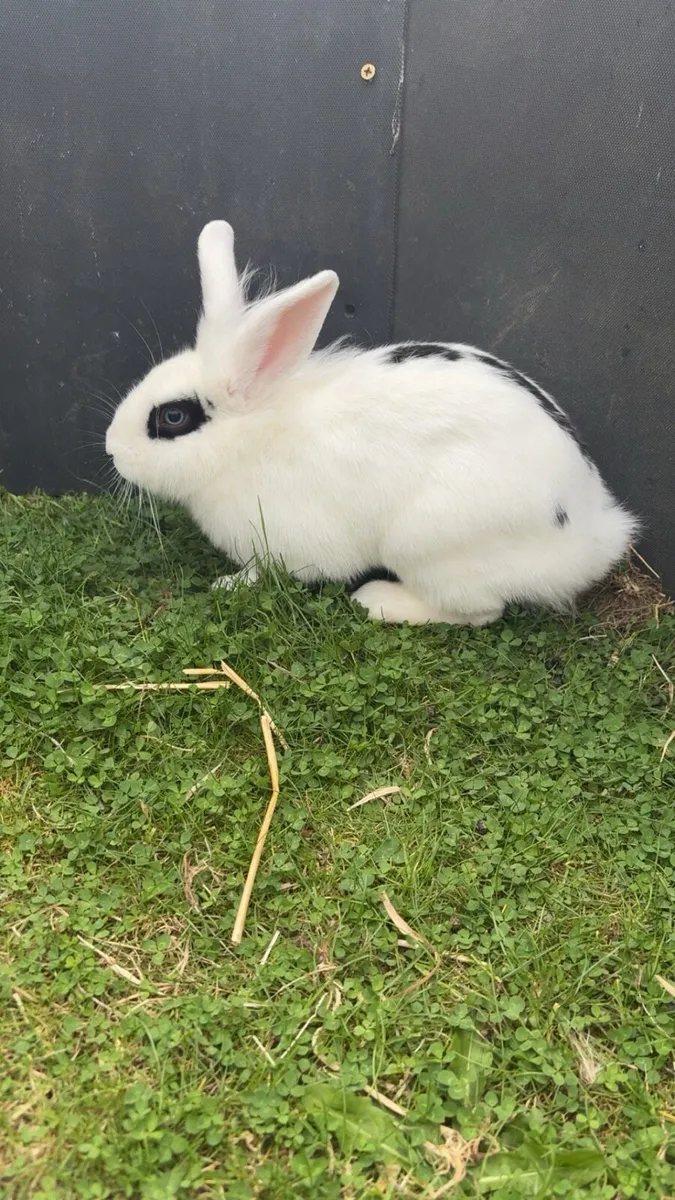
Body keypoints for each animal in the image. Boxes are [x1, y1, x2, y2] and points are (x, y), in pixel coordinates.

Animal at [105, 220, 638, 626]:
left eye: (173, 417)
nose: (112, 448)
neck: (250, 442)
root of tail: (593, 537)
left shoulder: (282, 545)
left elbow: (263, 573)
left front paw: (227, 584)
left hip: (433, 547)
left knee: (480, 612)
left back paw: (380, 601)